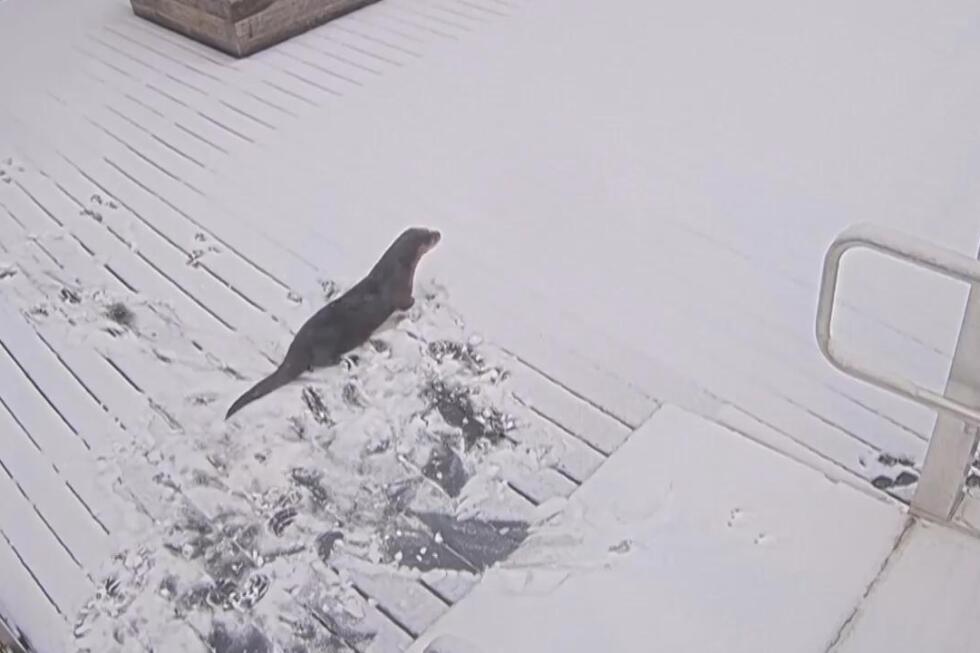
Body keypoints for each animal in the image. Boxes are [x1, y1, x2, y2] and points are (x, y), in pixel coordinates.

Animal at [225, 227, 441, 419]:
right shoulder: (402, 293)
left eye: (427, 228)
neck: (396, 271)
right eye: (428, 237)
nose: (438, 233)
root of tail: (297, 346)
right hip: (328, 341)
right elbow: (407, 303)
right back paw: (344, 359)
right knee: (322, 361)